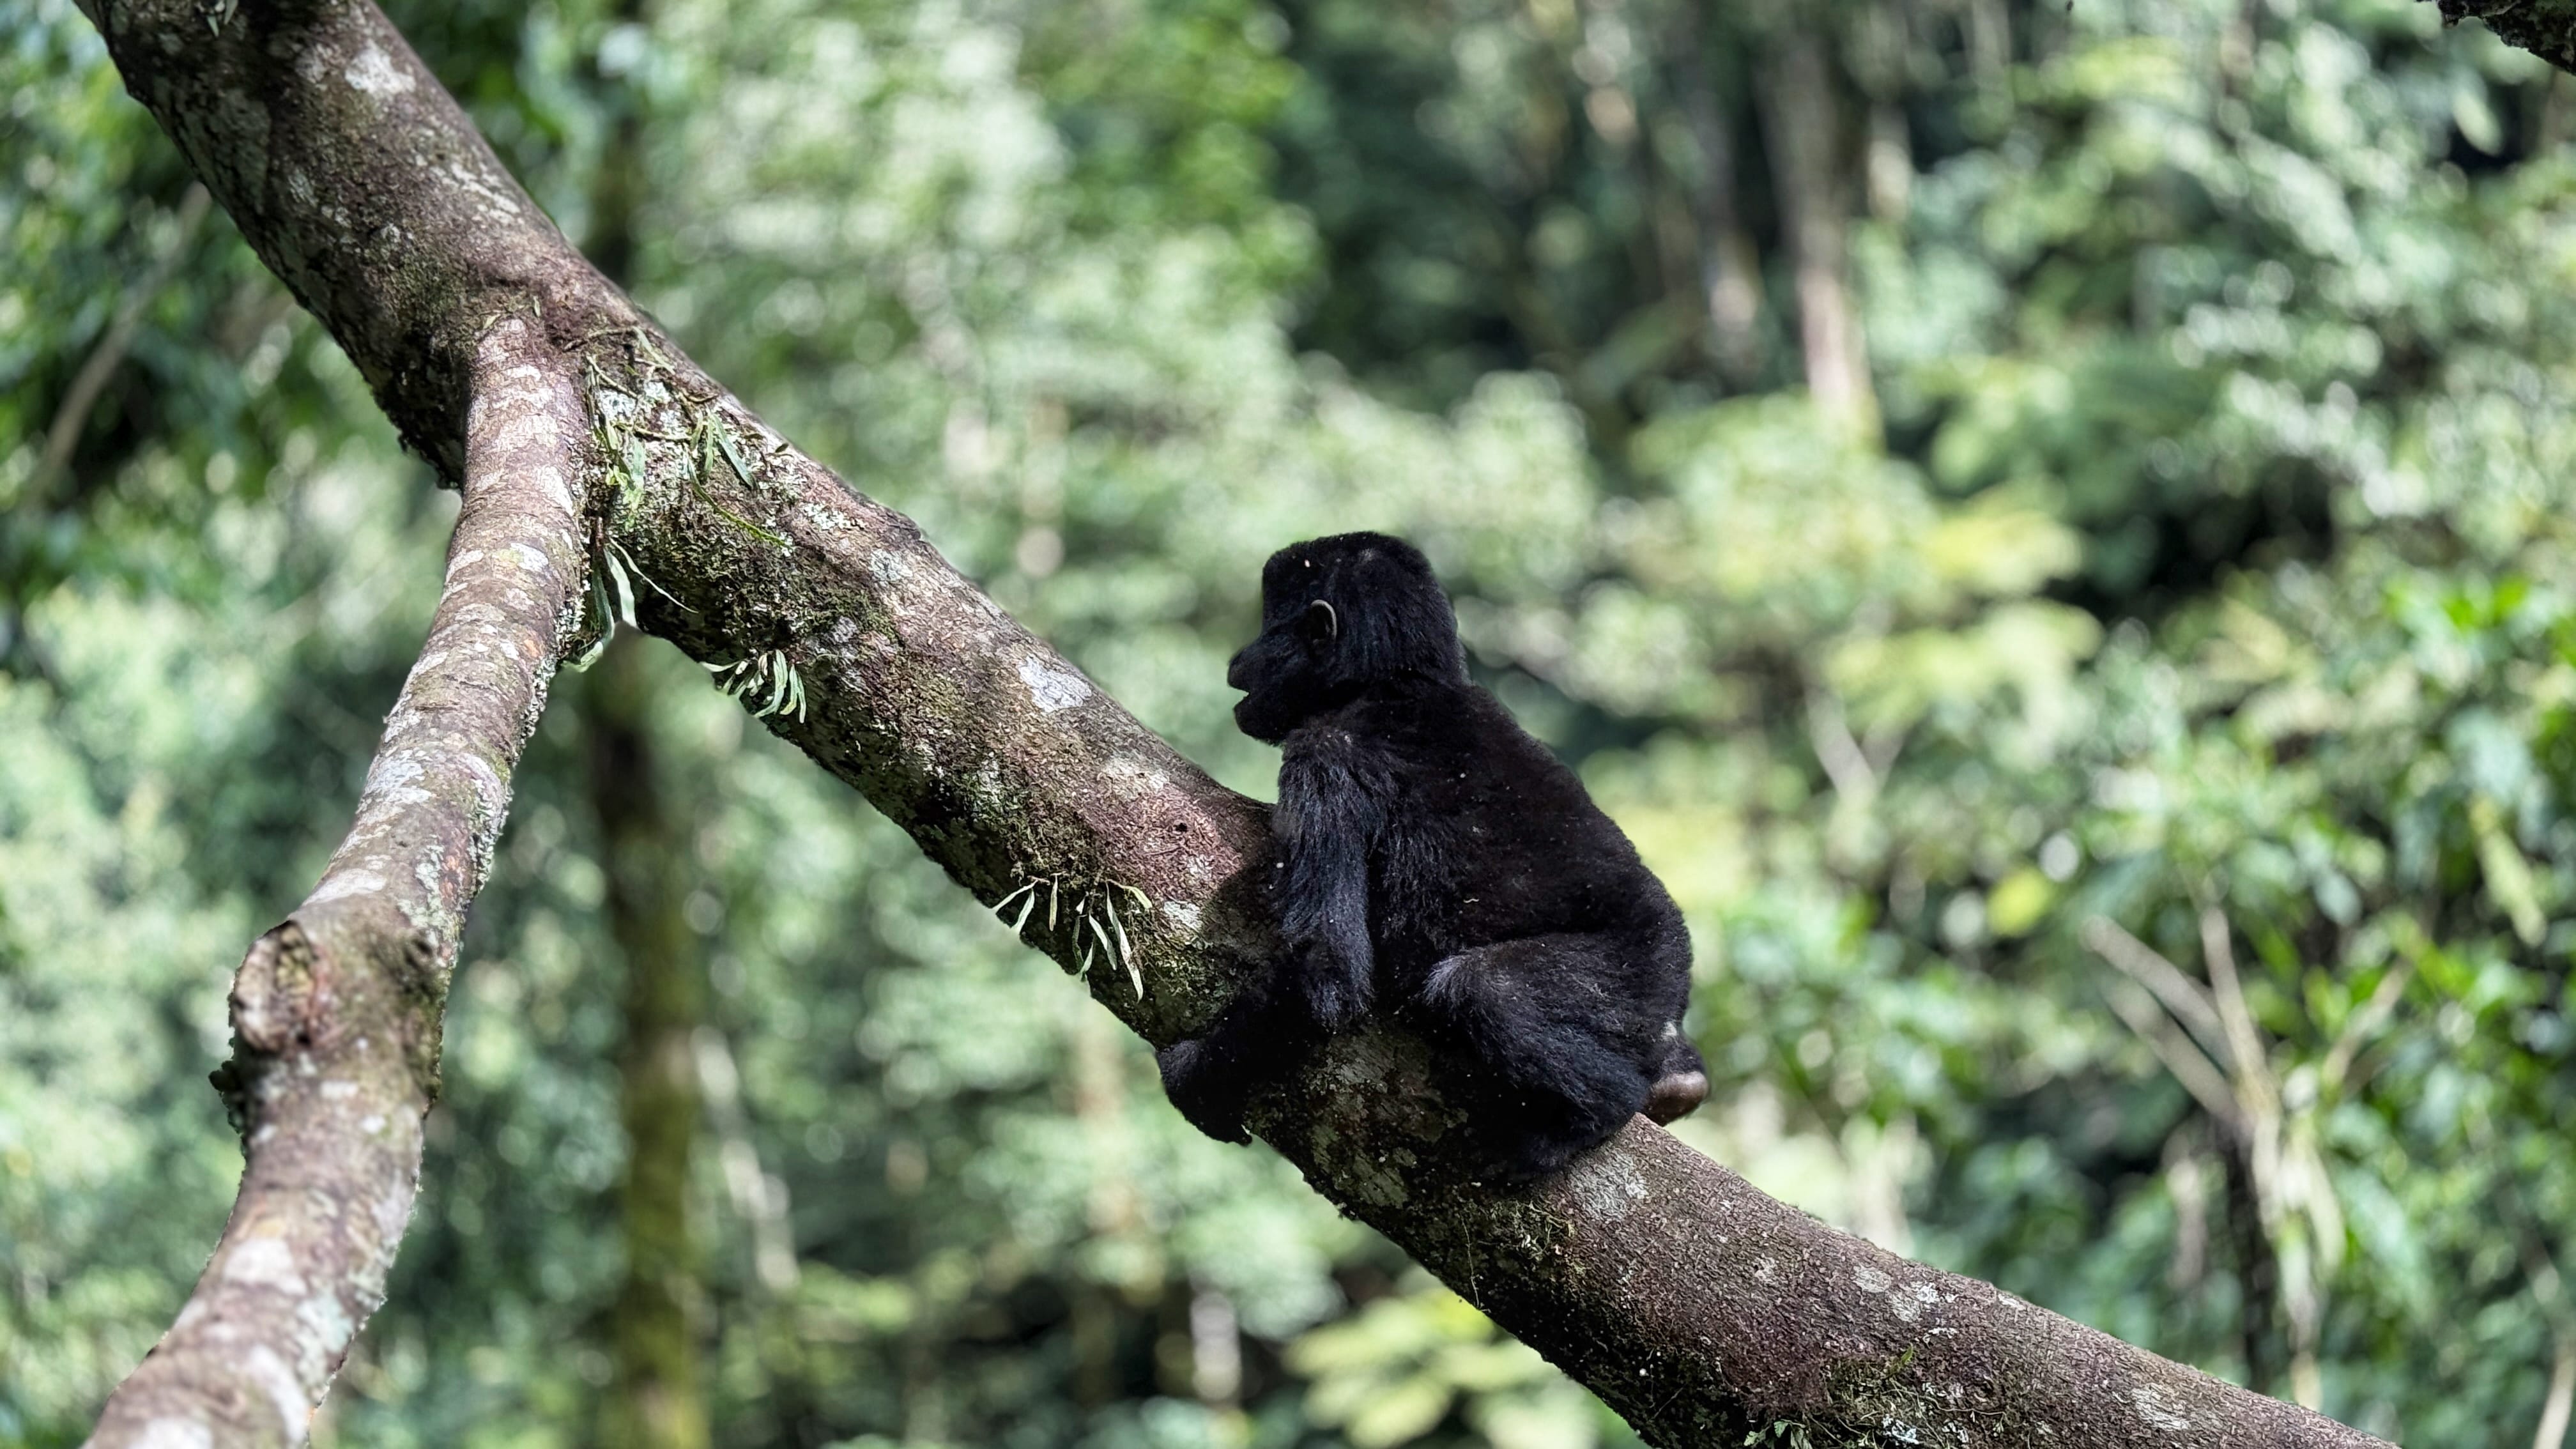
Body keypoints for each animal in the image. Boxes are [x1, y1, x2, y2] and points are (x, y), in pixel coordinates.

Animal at [1156, 532, 1708, 1182]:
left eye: (1270, 625)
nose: (1239, 660)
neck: (1398, 683)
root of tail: (1676, 994)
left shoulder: (1324, 756)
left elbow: (1327, 973)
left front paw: (1196, 1082)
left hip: (1633, 973)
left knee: (1482, 991)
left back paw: (1595, 1112)